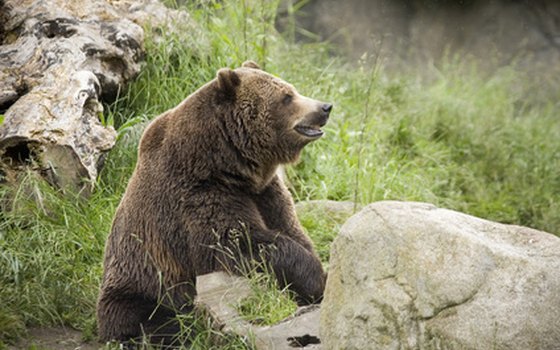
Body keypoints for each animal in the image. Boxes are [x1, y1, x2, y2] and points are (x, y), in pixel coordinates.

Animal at [97, 62, 332, 344]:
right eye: (287, 97)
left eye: (292, 89)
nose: (325, 107)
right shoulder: (199, 196)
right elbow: (236, 243)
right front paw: (315, 278)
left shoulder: (265, 191)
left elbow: (291, 229)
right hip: (142, 282)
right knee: (148, 316)